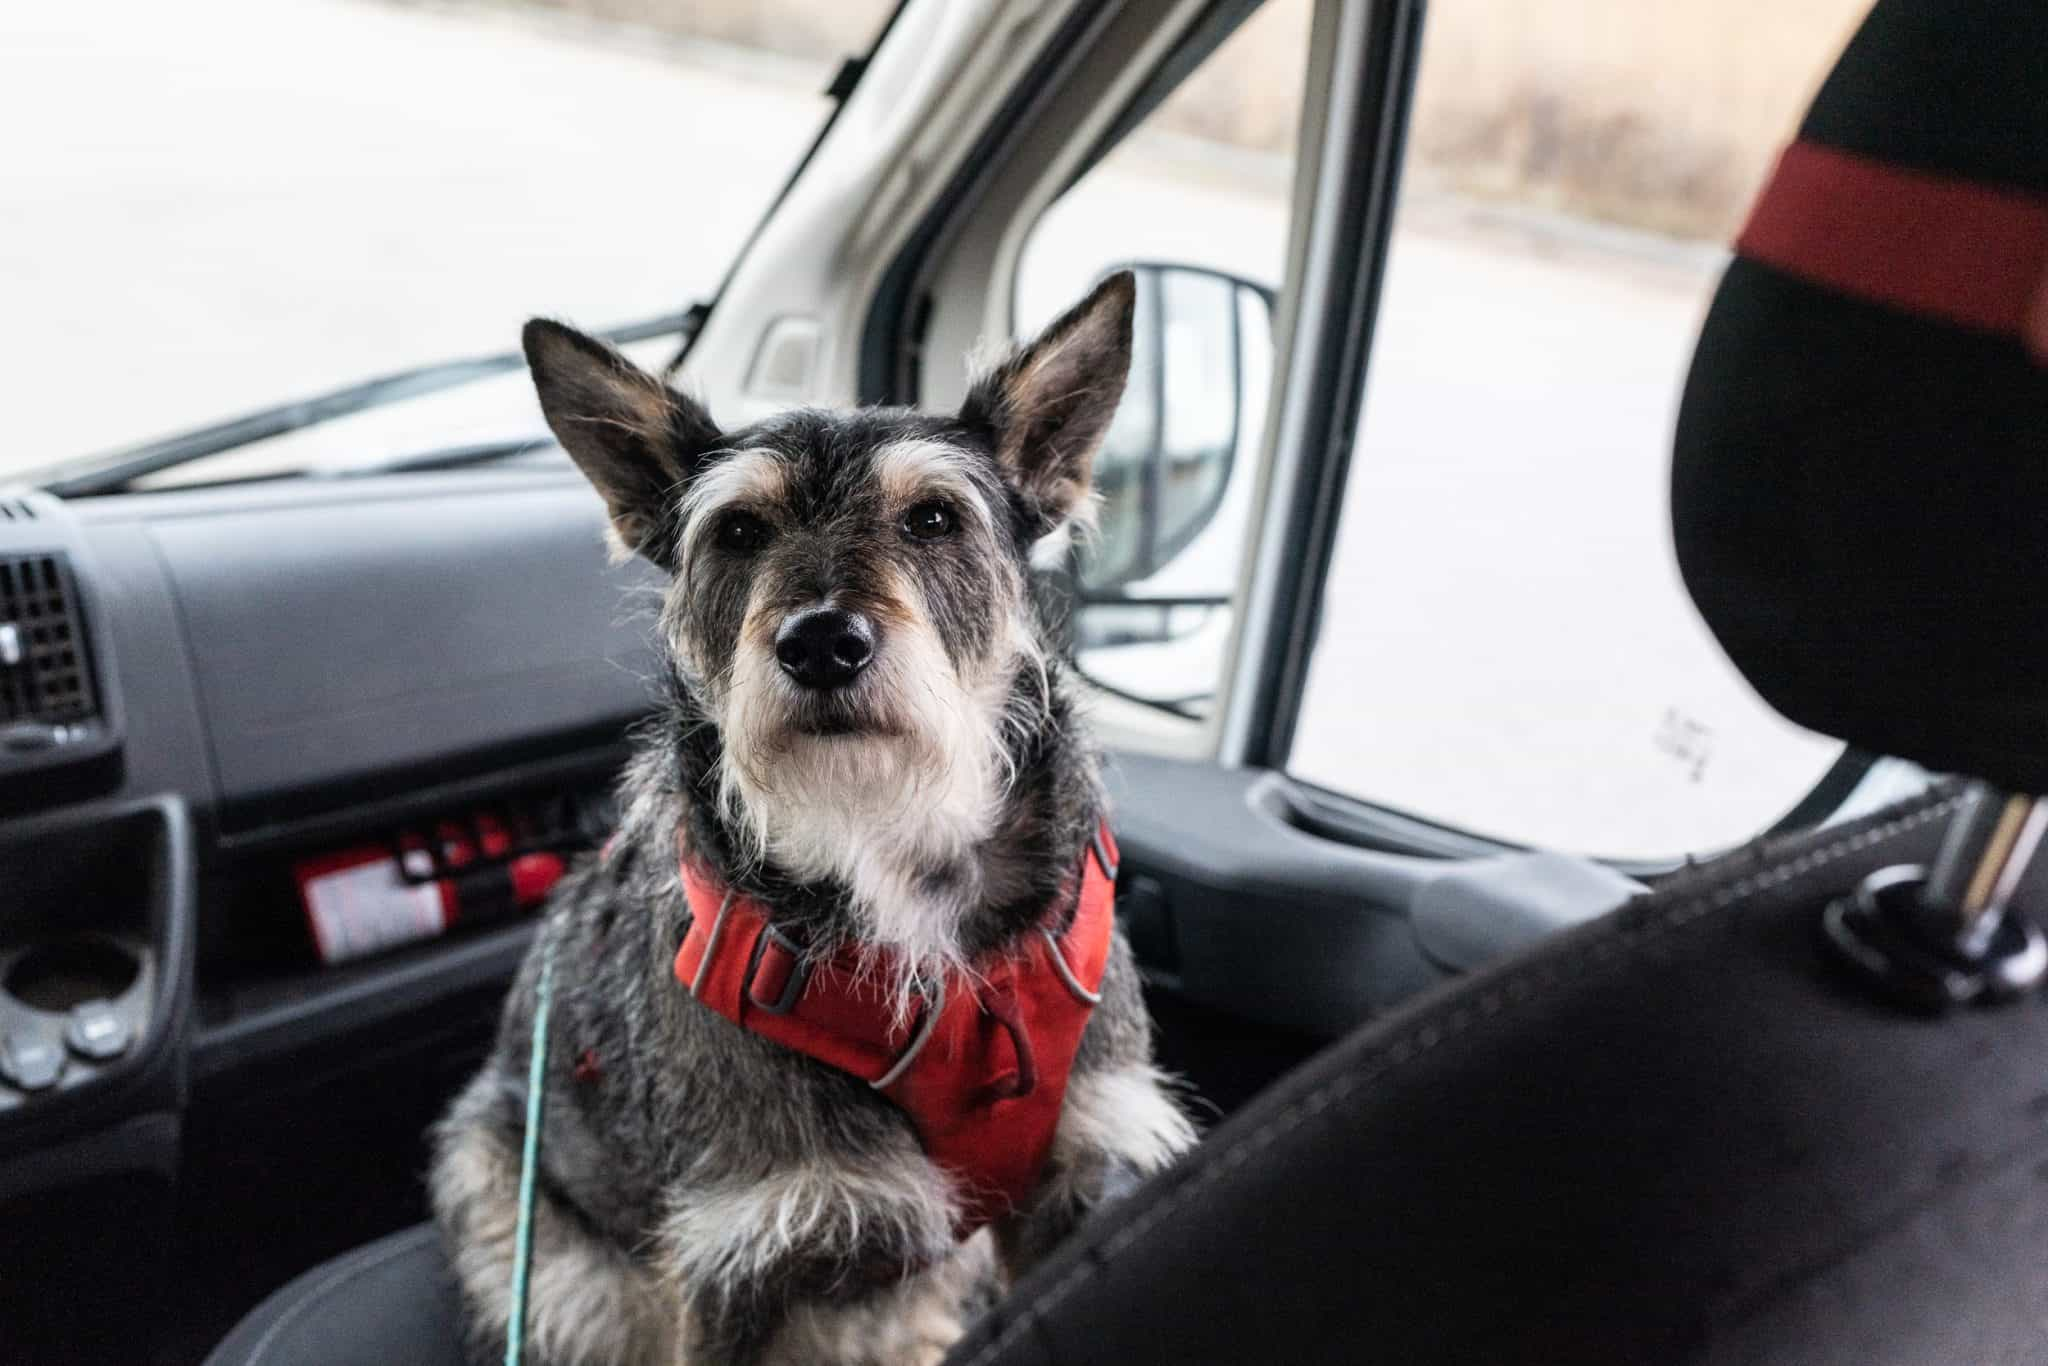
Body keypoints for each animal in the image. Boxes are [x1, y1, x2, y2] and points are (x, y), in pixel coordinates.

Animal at [432, 270, 1196, 1366]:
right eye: (739, 532)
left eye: (932, 518)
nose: (822, 642)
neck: (886, 845)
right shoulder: (740, 1253)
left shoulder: (1083, 1168)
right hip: (545, 1255)